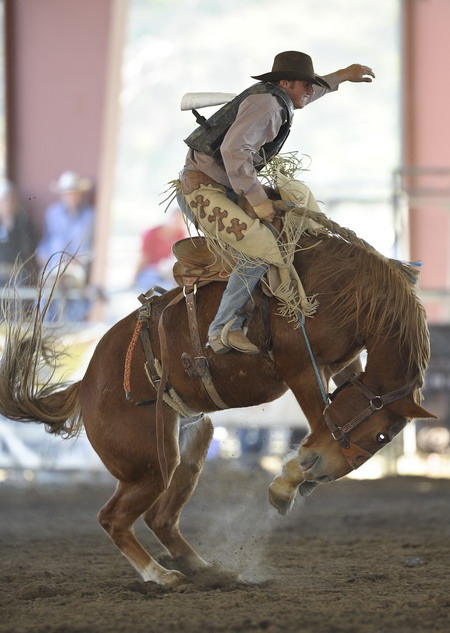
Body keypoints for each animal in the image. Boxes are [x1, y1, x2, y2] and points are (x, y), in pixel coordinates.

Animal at [0, 211, 432, 588]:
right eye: (380, 436)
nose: (322, 474)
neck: (350, 290)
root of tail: (87, 385)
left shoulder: (341, 364)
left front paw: (295, 480)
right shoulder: (302, 369)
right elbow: (318, 420)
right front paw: (287, 483)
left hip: (189, 445)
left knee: (160, 517)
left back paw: (205, 569)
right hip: (148, 465)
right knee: (113, 518)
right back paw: (162, 576)